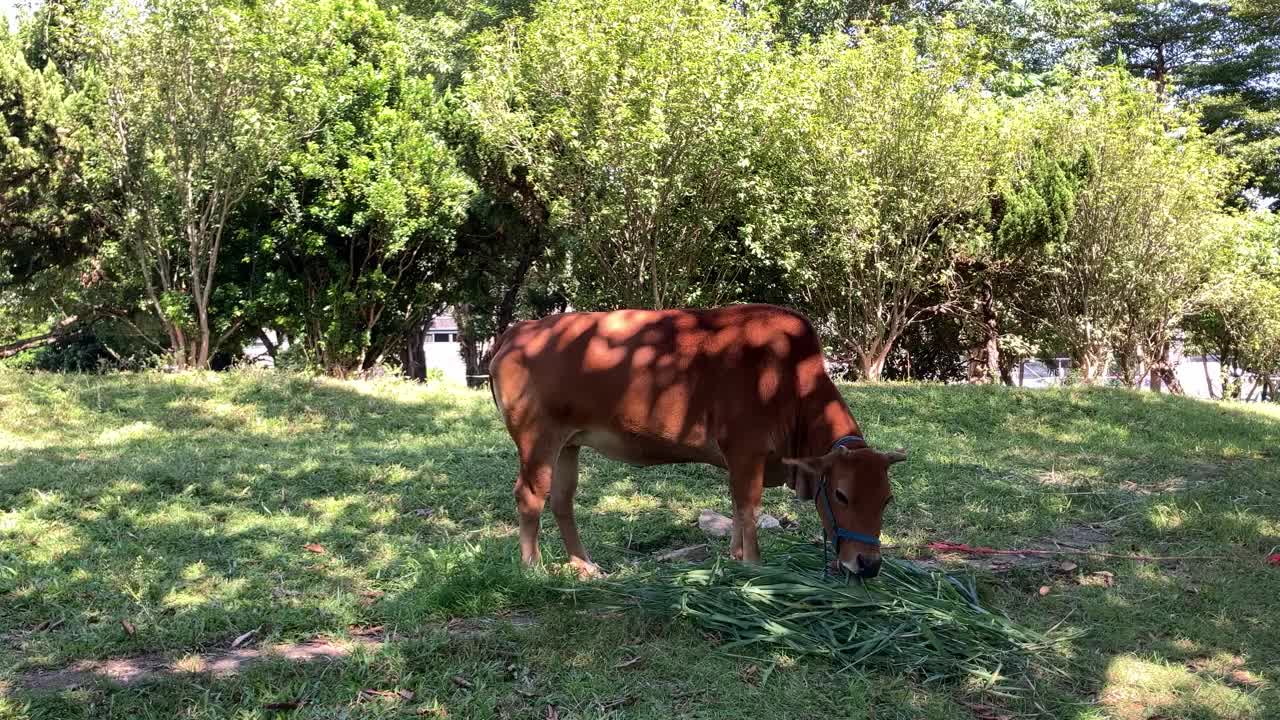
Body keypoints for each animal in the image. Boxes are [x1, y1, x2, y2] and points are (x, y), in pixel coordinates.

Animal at [483, 302, 906, 576]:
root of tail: (520, 330)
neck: (791, 381)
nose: (868, 565)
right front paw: (754, 566)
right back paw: (533, 567)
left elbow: (737, 508)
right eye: (841, 494)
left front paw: (735, 557)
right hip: (537, 439)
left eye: (886, 499)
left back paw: (583, 564)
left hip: (568, 444)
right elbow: (748, 507)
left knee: (561, 500)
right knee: (529, 496)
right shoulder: (746, 451)